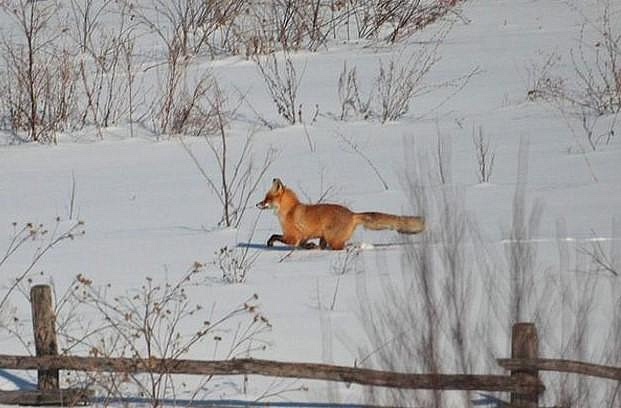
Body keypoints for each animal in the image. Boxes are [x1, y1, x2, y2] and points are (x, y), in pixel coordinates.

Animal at [254, 178, 424, 249]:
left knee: (342, 247)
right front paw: (309, 247)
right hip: (325, 237)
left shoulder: (292, 237)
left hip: (333, 240)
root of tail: (352, 213)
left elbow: (274, 236)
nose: (256, 204)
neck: (290, 211)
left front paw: (269, 243)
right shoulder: (303, 236)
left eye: (266, 199)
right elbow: (304, 244)